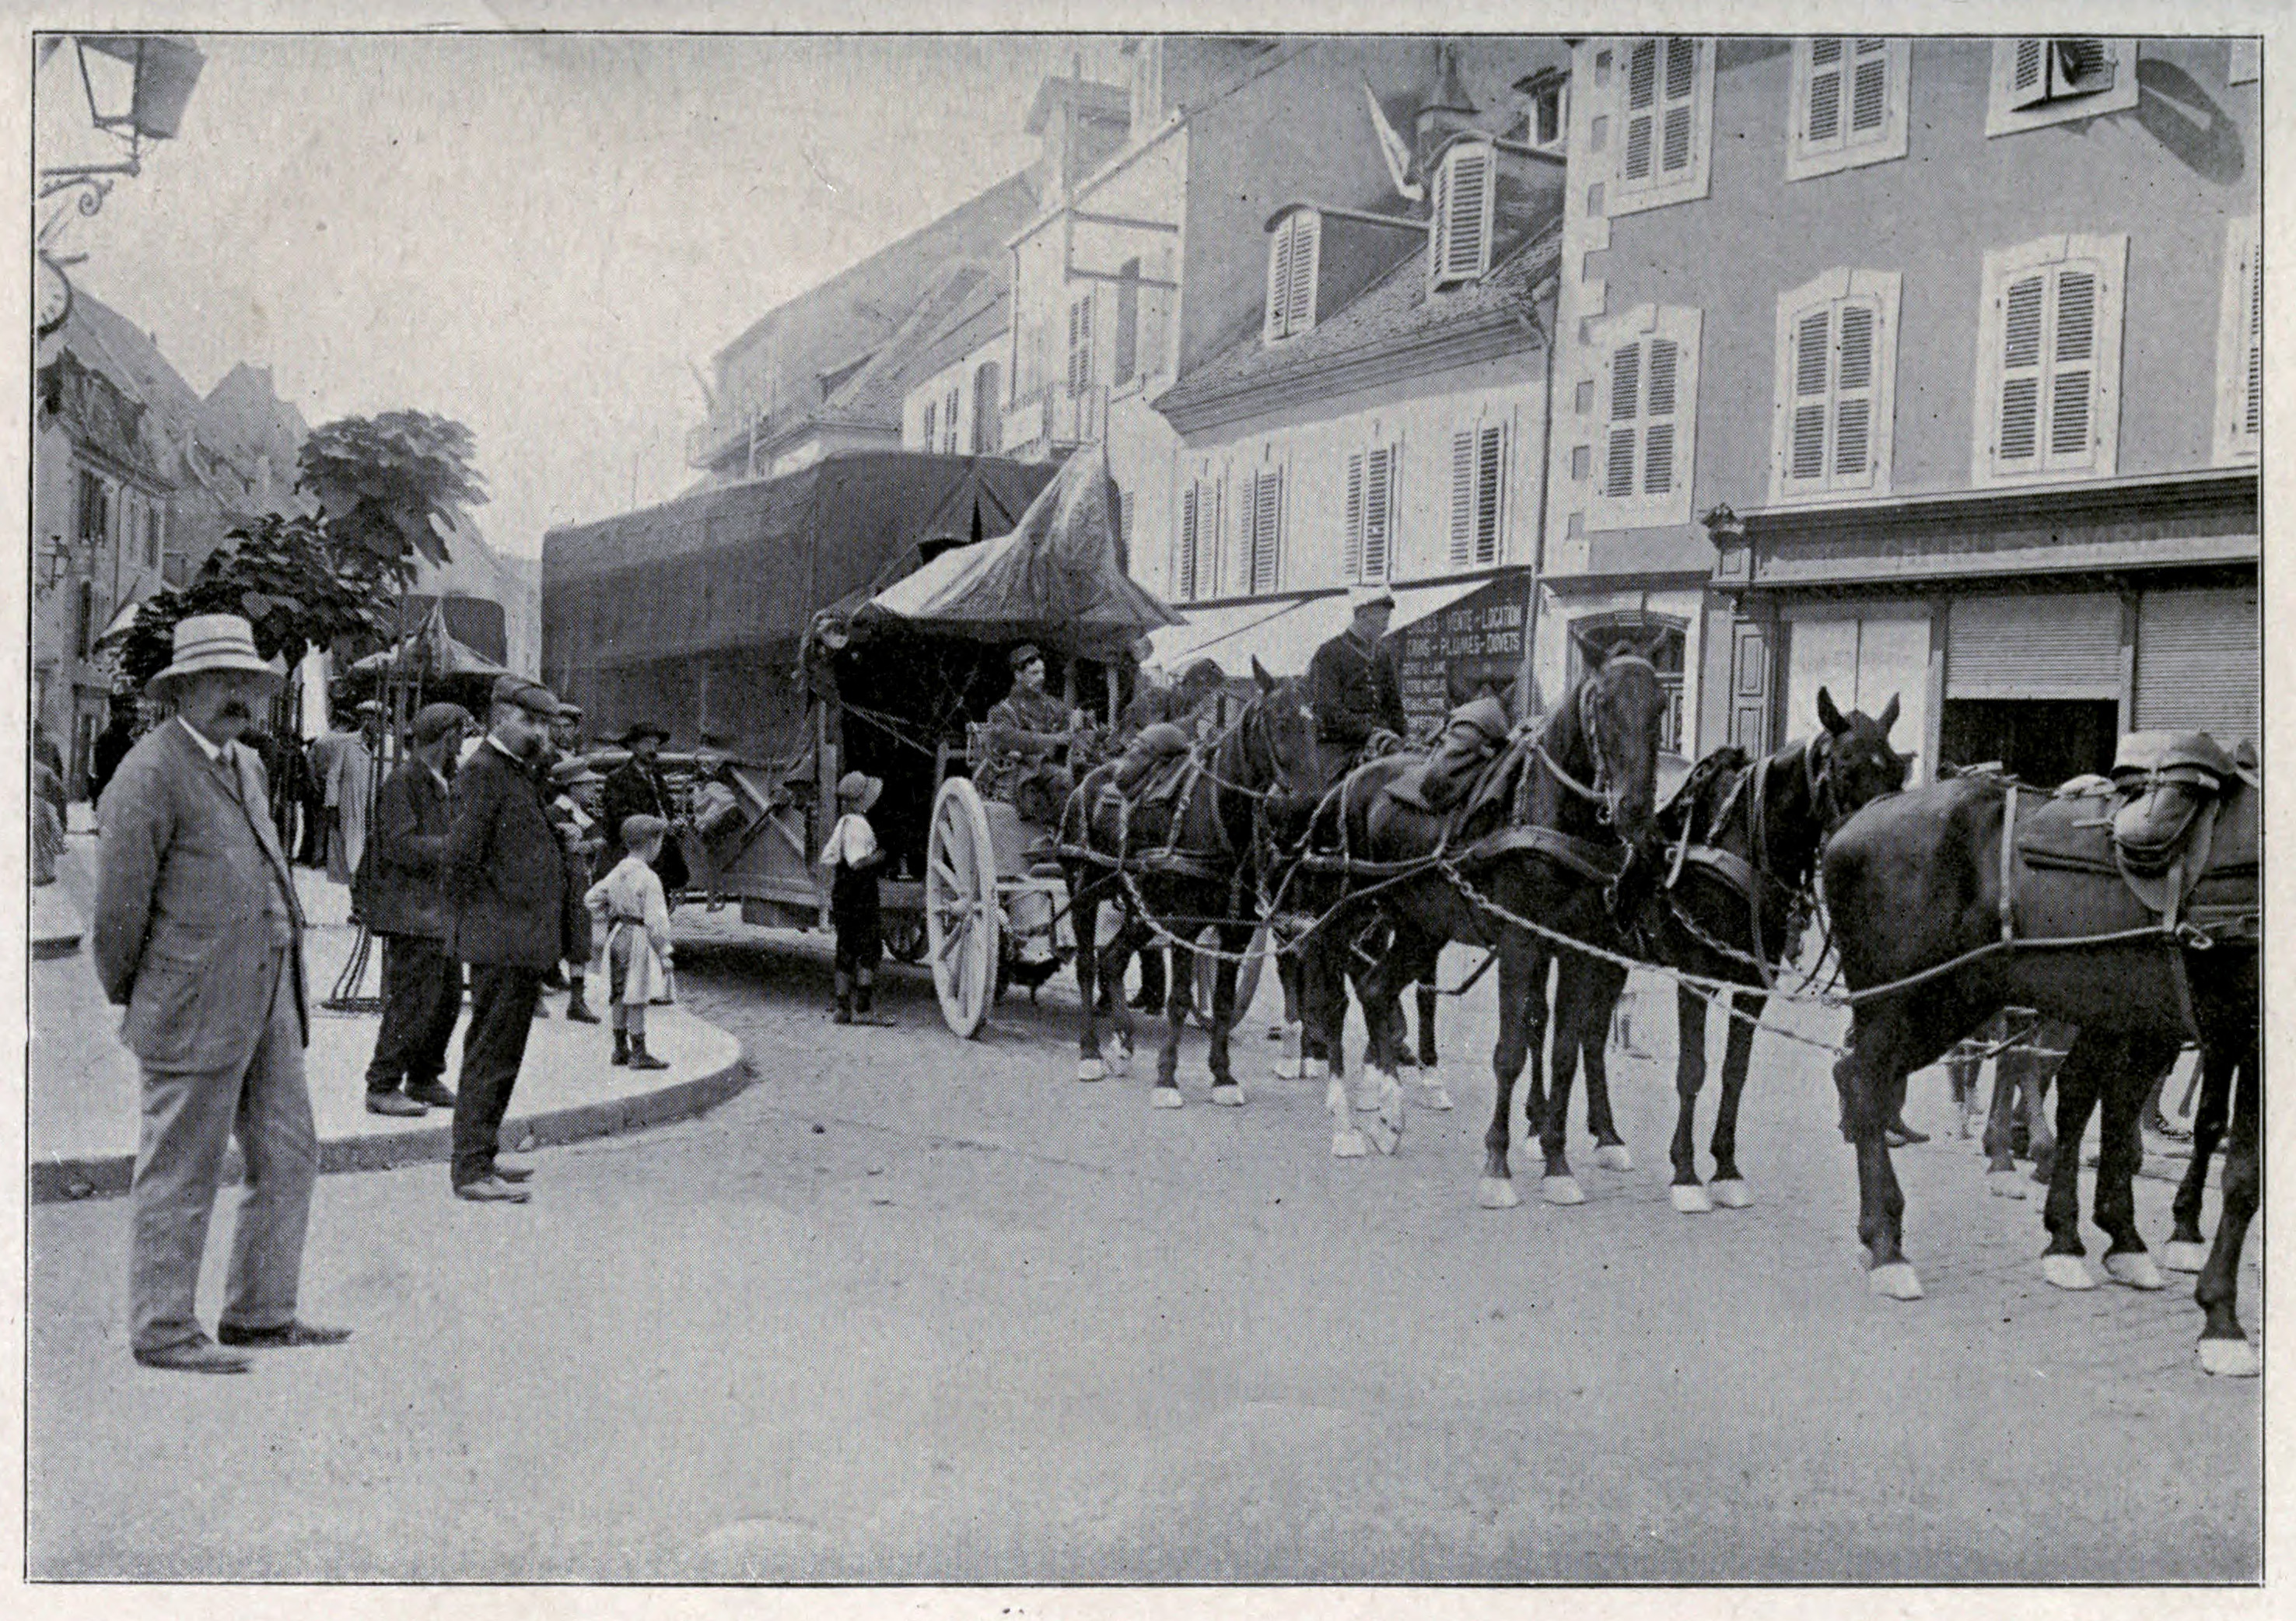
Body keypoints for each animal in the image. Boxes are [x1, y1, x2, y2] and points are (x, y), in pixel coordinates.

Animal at [1060, 652, 1322, 1097]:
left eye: (1315, 725)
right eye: (1279, 720)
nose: (1307, 803)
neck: (1217, 812)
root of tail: (1087, 781)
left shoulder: (1235, 930)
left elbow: (1222, 1000)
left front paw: (1223, 1075)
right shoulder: (1185, 922)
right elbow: (1180, 999)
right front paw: (1167, 1077)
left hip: (1141, 905)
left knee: (1112, 959)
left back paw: (1124, 1042)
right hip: (1084, 889)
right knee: (1086, 965)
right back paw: (1090, 1052)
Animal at [1294, 642, 1671, 1175]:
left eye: (1662, 706)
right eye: (1602, 705)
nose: (1634, 811)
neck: (1546, 815)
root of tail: (1343, 786)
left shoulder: (1579, 948)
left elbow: (1565, 1049)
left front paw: (1558, 1159)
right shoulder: (1520, 943)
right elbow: (1512, 1050)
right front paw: (1500, 1160)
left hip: (1419, 925)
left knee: (1375, 988)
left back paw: (1390, 1112)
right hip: (1344, 913)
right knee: (1333, 997)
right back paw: (1346, 1116)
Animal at [1524, 688, 1919, 1203]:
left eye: (1894, 771)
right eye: (1846, 767)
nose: (1879, 852)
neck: (1741, 839)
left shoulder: (1753, 987)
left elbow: (1735, 1072)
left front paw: (1727, 1168)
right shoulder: (1696, 977)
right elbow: (1692, 1069)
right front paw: (1686, 1173)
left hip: (1614, 954)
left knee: (1591, 1034)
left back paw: (1607, 1136)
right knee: (1536, 1022)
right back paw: (1537, 1129)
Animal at [1818, 762, 2268, 1368]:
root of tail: (1861, 819)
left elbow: (2125, 1117)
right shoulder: (2239, 1037)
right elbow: (2240, 1175)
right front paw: (2221, 1320)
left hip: (1956, 1000)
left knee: (1856, 1070)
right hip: (1907, 999)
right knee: (1868, 1080)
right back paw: (1889, 1245)